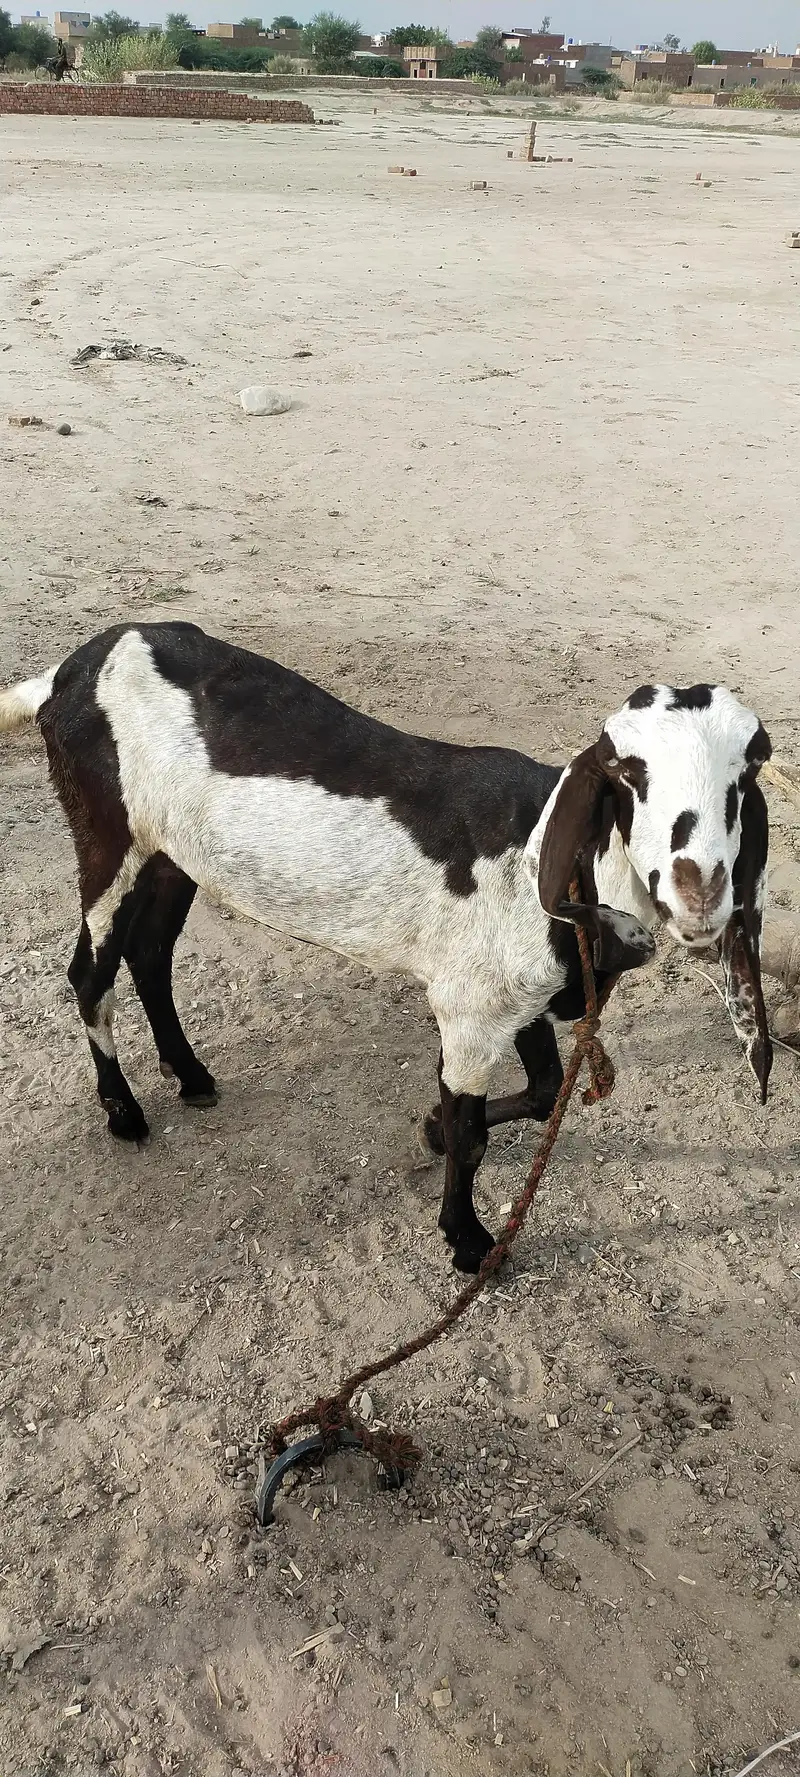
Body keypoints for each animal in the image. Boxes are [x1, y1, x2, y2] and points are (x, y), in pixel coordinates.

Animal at [0, 623, 772, 1273]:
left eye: (747, 775)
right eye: (626, 773)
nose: (700, 888)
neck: (547, 854)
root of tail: (68, 674)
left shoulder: (514, 999)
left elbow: (543, 1088)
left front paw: (428, 1130)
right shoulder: (470, 1010)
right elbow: (473, 1135)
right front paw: (469, 1242)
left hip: (171, 854)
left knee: (151, 953)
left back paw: (189, 1075)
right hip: (107, 832)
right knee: (90, 970)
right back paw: (124, 1111)